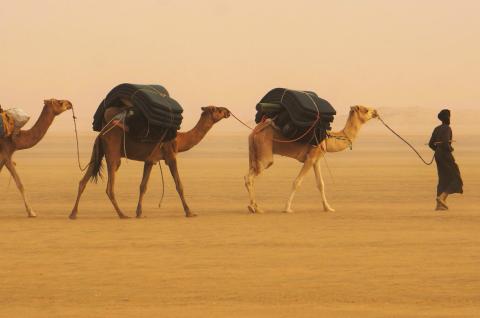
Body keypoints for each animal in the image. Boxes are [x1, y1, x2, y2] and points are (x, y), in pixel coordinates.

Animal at [69, 105, 231, 220]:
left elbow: (143, 186)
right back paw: (122, 214)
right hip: (113, 152)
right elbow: (179, 185)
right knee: (109, 186)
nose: (227, 111)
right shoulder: (171, 156)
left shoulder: (150, 160)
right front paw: (189, 212)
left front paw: (139, 212)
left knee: (83, 181)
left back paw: (73, 214)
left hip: (97, 152)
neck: (180, 139)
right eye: (217, 109)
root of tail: (102, 133)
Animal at [246, 105, 376, 214]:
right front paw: (287, 208)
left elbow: (320, 184)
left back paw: (255, 207)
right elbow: (297, 182)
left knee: (249, 176)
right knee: (251, 176)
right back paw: (254, 208)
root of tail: (254, 132)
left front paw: (328, 208)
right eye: (366, 110)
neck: (328, 139)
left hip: (253, 154)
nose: (375, 112)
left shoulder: (316, 159)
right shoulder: (310, 158)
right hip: (265, 154)